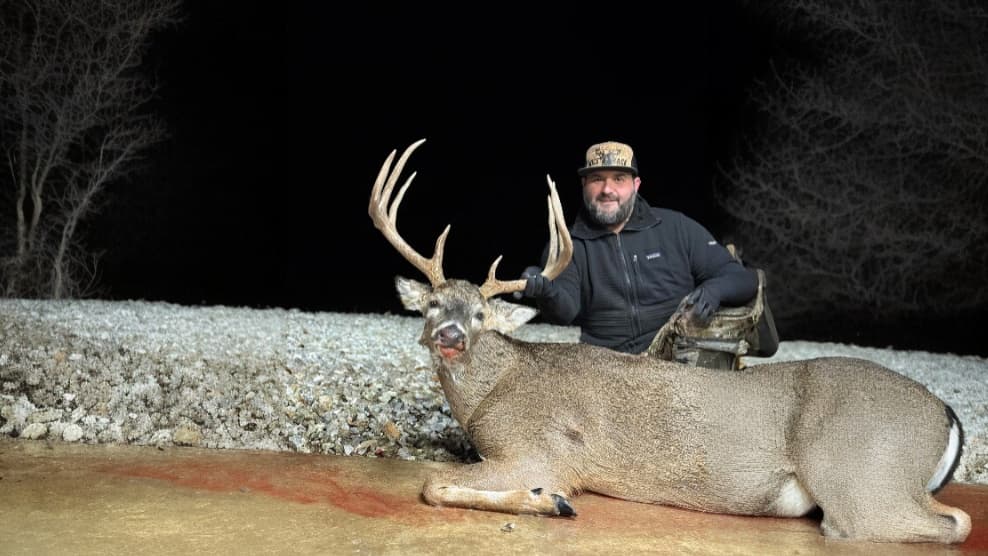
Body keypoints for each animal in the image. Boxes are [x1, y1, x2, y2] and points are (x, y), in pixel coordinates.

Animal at [368, 139, 971, 544]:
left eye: (479, 315)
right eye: (433, 306)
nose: (449, 336)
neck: (493, 391)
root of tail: (945, 413)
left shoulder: (542, 449)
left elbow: (434, 484)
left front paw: (549, 501)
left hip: (860, 474)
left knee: (947, 522)